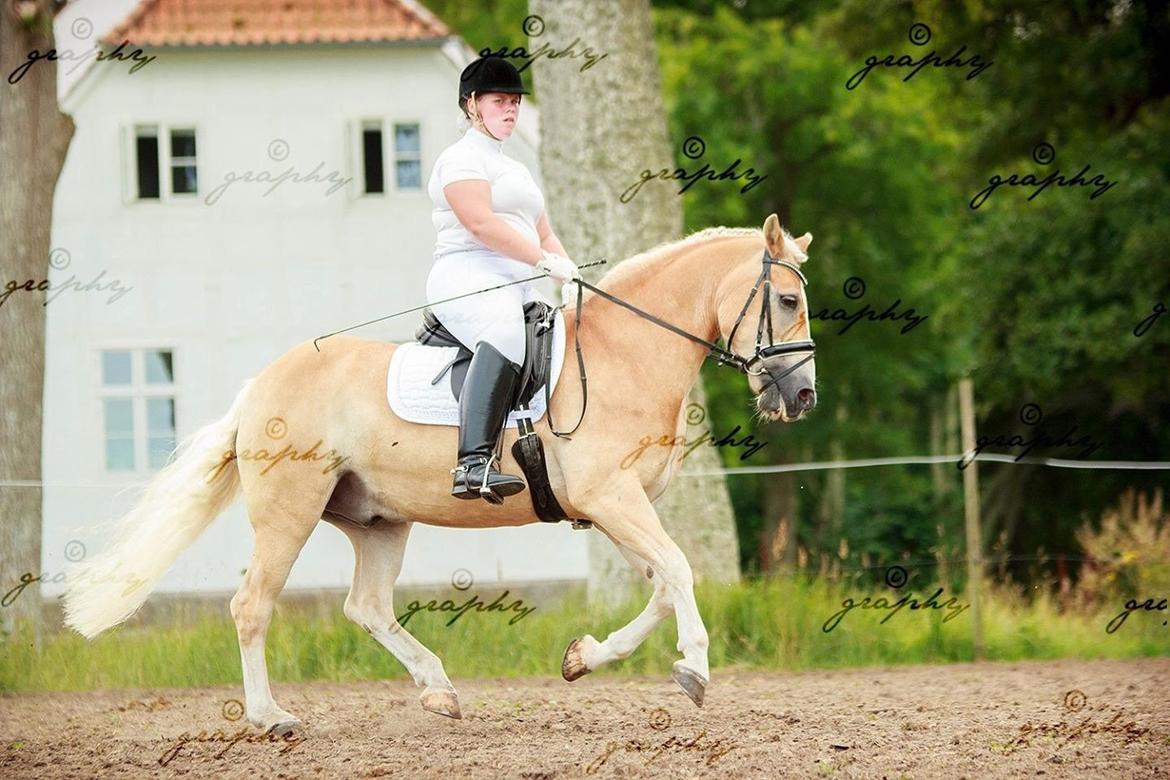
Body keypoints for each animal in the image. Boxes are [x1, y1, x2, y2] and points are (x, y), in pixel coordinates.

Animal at [61, 211, 814, 734]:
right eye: (786, 302)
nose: (803, 396)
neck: (624, 352)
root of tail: (258, 388)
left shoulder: (614, 509)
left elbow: (662, 583)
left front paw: (582, 658)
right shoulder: (613, 499)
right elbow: (679, 572)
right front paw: (694, 670)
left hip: (378, 522)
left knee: (366, 606)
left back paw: (439, 691)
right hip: (289, 514)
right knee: (253, 606)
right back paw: (271, 717)